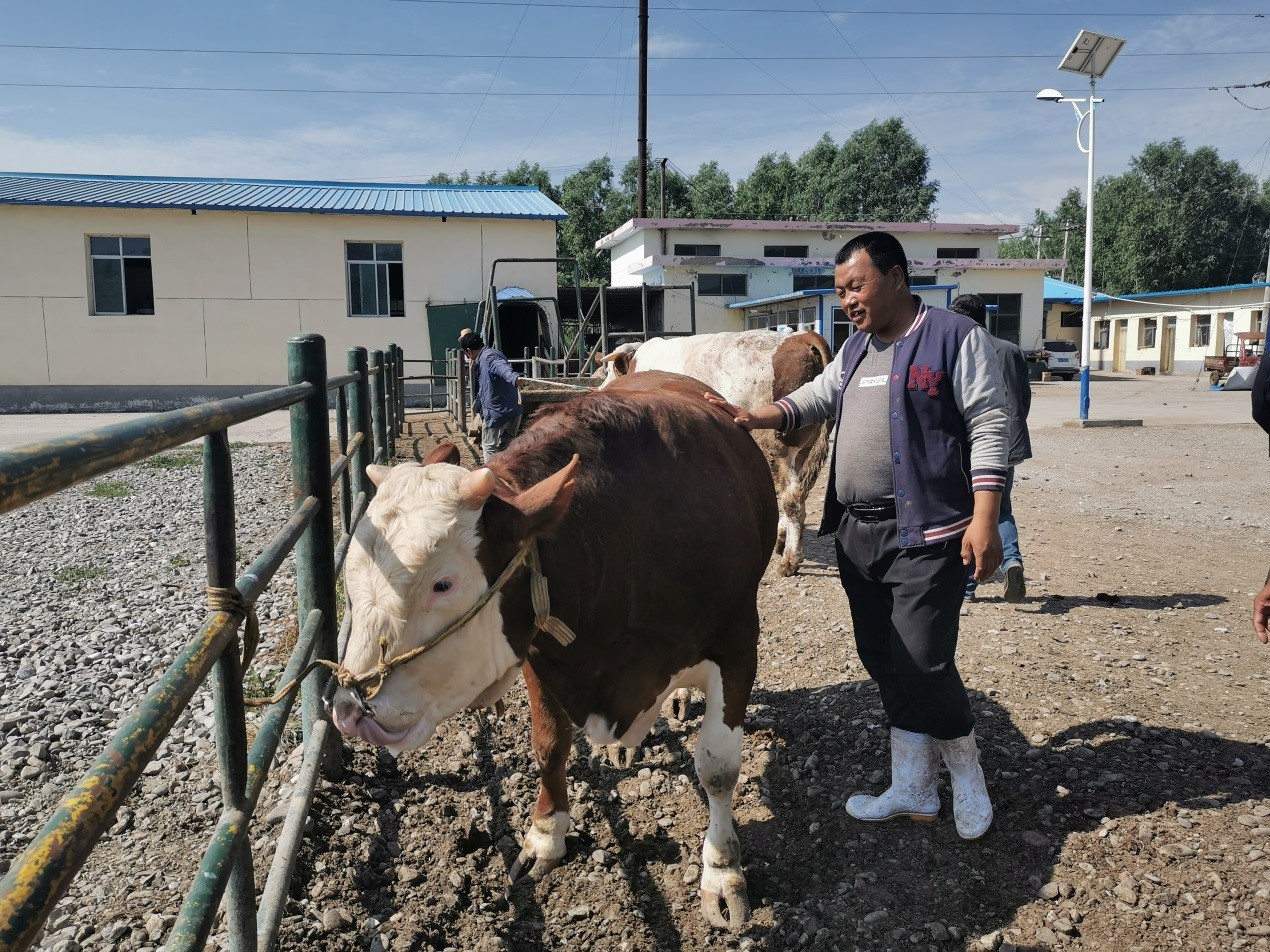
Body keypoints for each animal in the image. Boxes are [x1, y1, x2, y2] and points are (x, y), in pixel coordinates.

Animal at [330, 370, 772, 934]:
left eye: (443, 584)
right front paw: (545, 836)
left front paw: (722, 871)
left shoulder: (737, 646)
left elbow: (717, 767)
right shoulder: (543, 654)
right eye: (352, 575)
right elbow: (549, 746)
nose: (350, 708)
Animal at [596, 330, 833, 581]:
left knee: (792, 497)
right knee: (800, 491)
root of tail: (802, 336)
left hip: (777, 447)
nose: (600, 389)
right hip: (805, 448)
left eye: (609, 370)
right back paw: (780, 540)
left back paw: (790, 560)